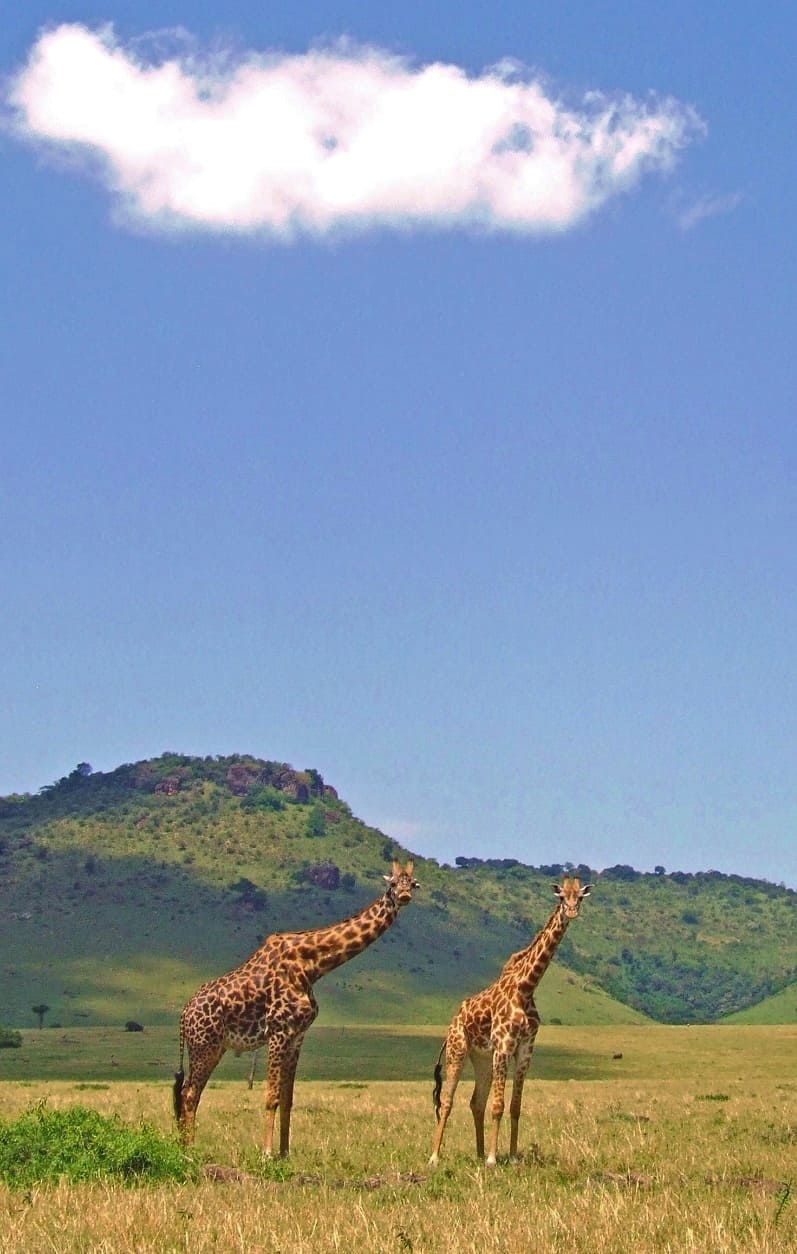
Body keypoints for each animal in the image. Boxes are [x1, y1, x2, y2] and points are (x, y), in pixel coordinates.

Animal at [174, 862, 421, 1153]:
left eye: (413, 883)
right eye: (392, 883)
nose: (404, 896)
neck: (312, 966)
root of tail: (184, 1014)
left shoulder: (297, 1035)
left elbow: (287, 1099)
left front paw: (285, 1153)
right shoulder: (278, 1032)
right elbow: (271, 1096)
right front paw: (267, 1153)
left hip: (213, 1047)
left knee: (186, 1091)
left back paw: (183, 1146)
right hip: (205, 1045)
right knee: (191, 1093)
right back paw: (190, 1151)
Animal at [428, 877, 591, 1168]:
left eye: (580, 897)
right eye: (562, 897)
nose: (572, 912)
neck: (526, 987)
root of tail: (453, 1023)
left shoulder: (525, 1048)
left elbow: (515, 1106)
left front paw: (512, 1158)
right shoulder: (504, 1046)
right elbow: (498, 1106)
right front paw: (494, 1159)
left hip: (482, 1058)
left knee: (476, 1101)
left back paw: (478, 1153)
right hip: (458, 1049)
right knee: (447, 1100)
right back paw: (435, 1156)